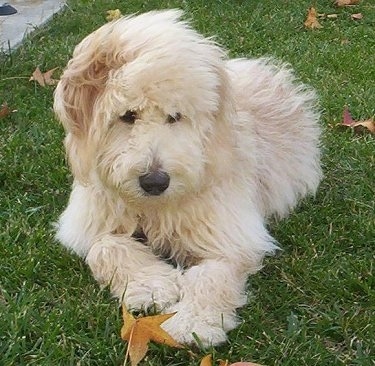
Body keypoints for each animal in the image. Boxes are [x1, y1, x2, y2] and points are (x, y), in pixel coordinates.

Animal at [53, 9, 324, 346]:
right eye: (127, 115)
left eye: (175, 116)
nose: (155, 182)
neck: (155, 209)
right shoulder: (88, 220)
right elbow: (105, 246)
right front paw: (153, 285)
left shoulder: (230, 234)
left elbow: (213, 276)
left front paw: (192, 322)